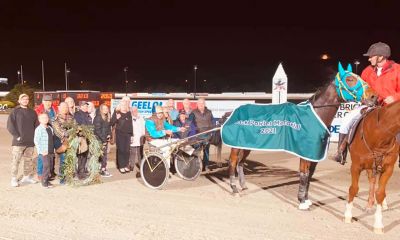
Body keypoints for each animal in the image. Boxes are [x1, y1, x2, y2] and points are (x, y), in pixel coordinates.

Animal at [227, 62, 370, 210]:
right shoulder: (305, 152)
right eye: (350, 79)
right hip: (235, 146)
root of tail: (233, 111)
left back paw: (243, 185)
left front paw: (306, 199)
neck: (315, 116)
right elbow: (304, 174)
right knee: (232, 162)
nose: (373, 97)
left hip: (246, 146)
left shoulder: (314, 153)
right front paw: (301, 200)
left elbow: (310, 174)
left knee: (240, 162)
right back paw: (234, 189)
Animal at [344, 100, 400, 234]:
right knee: (371, 181)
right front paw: (348, 215)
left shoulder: (388, 169)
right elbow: (353, 189)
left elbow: (380, 193)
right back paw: (369, 205)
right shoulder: (356, 166)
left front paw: (378, 225)